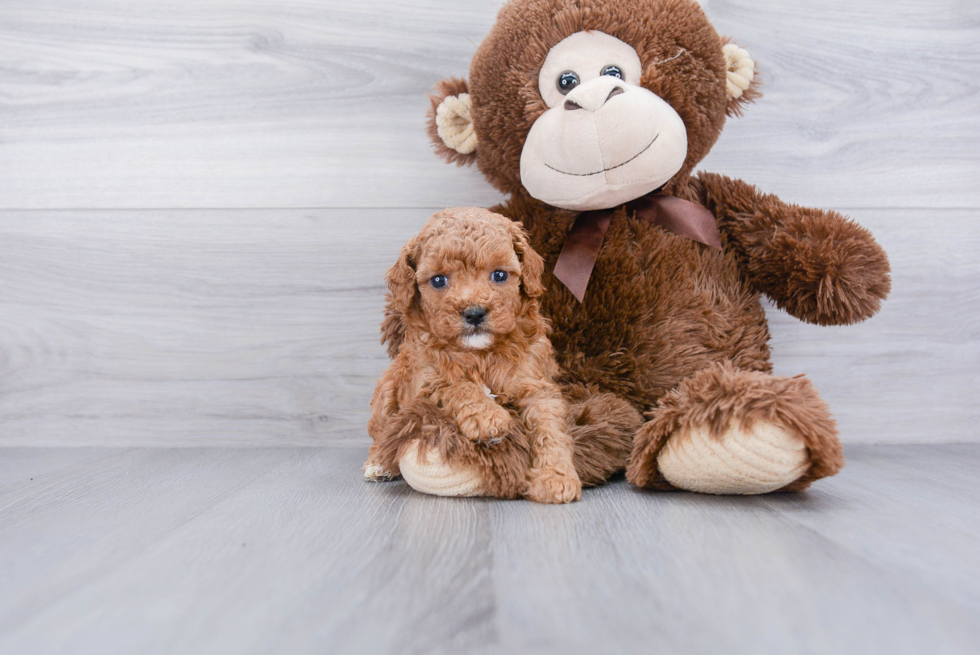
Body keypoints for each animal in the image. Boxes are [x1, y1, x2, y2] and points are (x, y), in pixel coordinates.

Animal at [366, 208, 580, 504]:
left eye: (499, 275)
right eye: (438, 280)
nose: (475, 312)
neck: (481, 353)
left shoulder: (537, 384)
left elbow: (550, 428)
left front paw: (556, 478)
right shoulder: (424, 382)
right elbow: (456, 385)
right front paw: (487, 418)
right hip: (389, 388)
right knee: (382, 431)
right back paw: (378, 464)